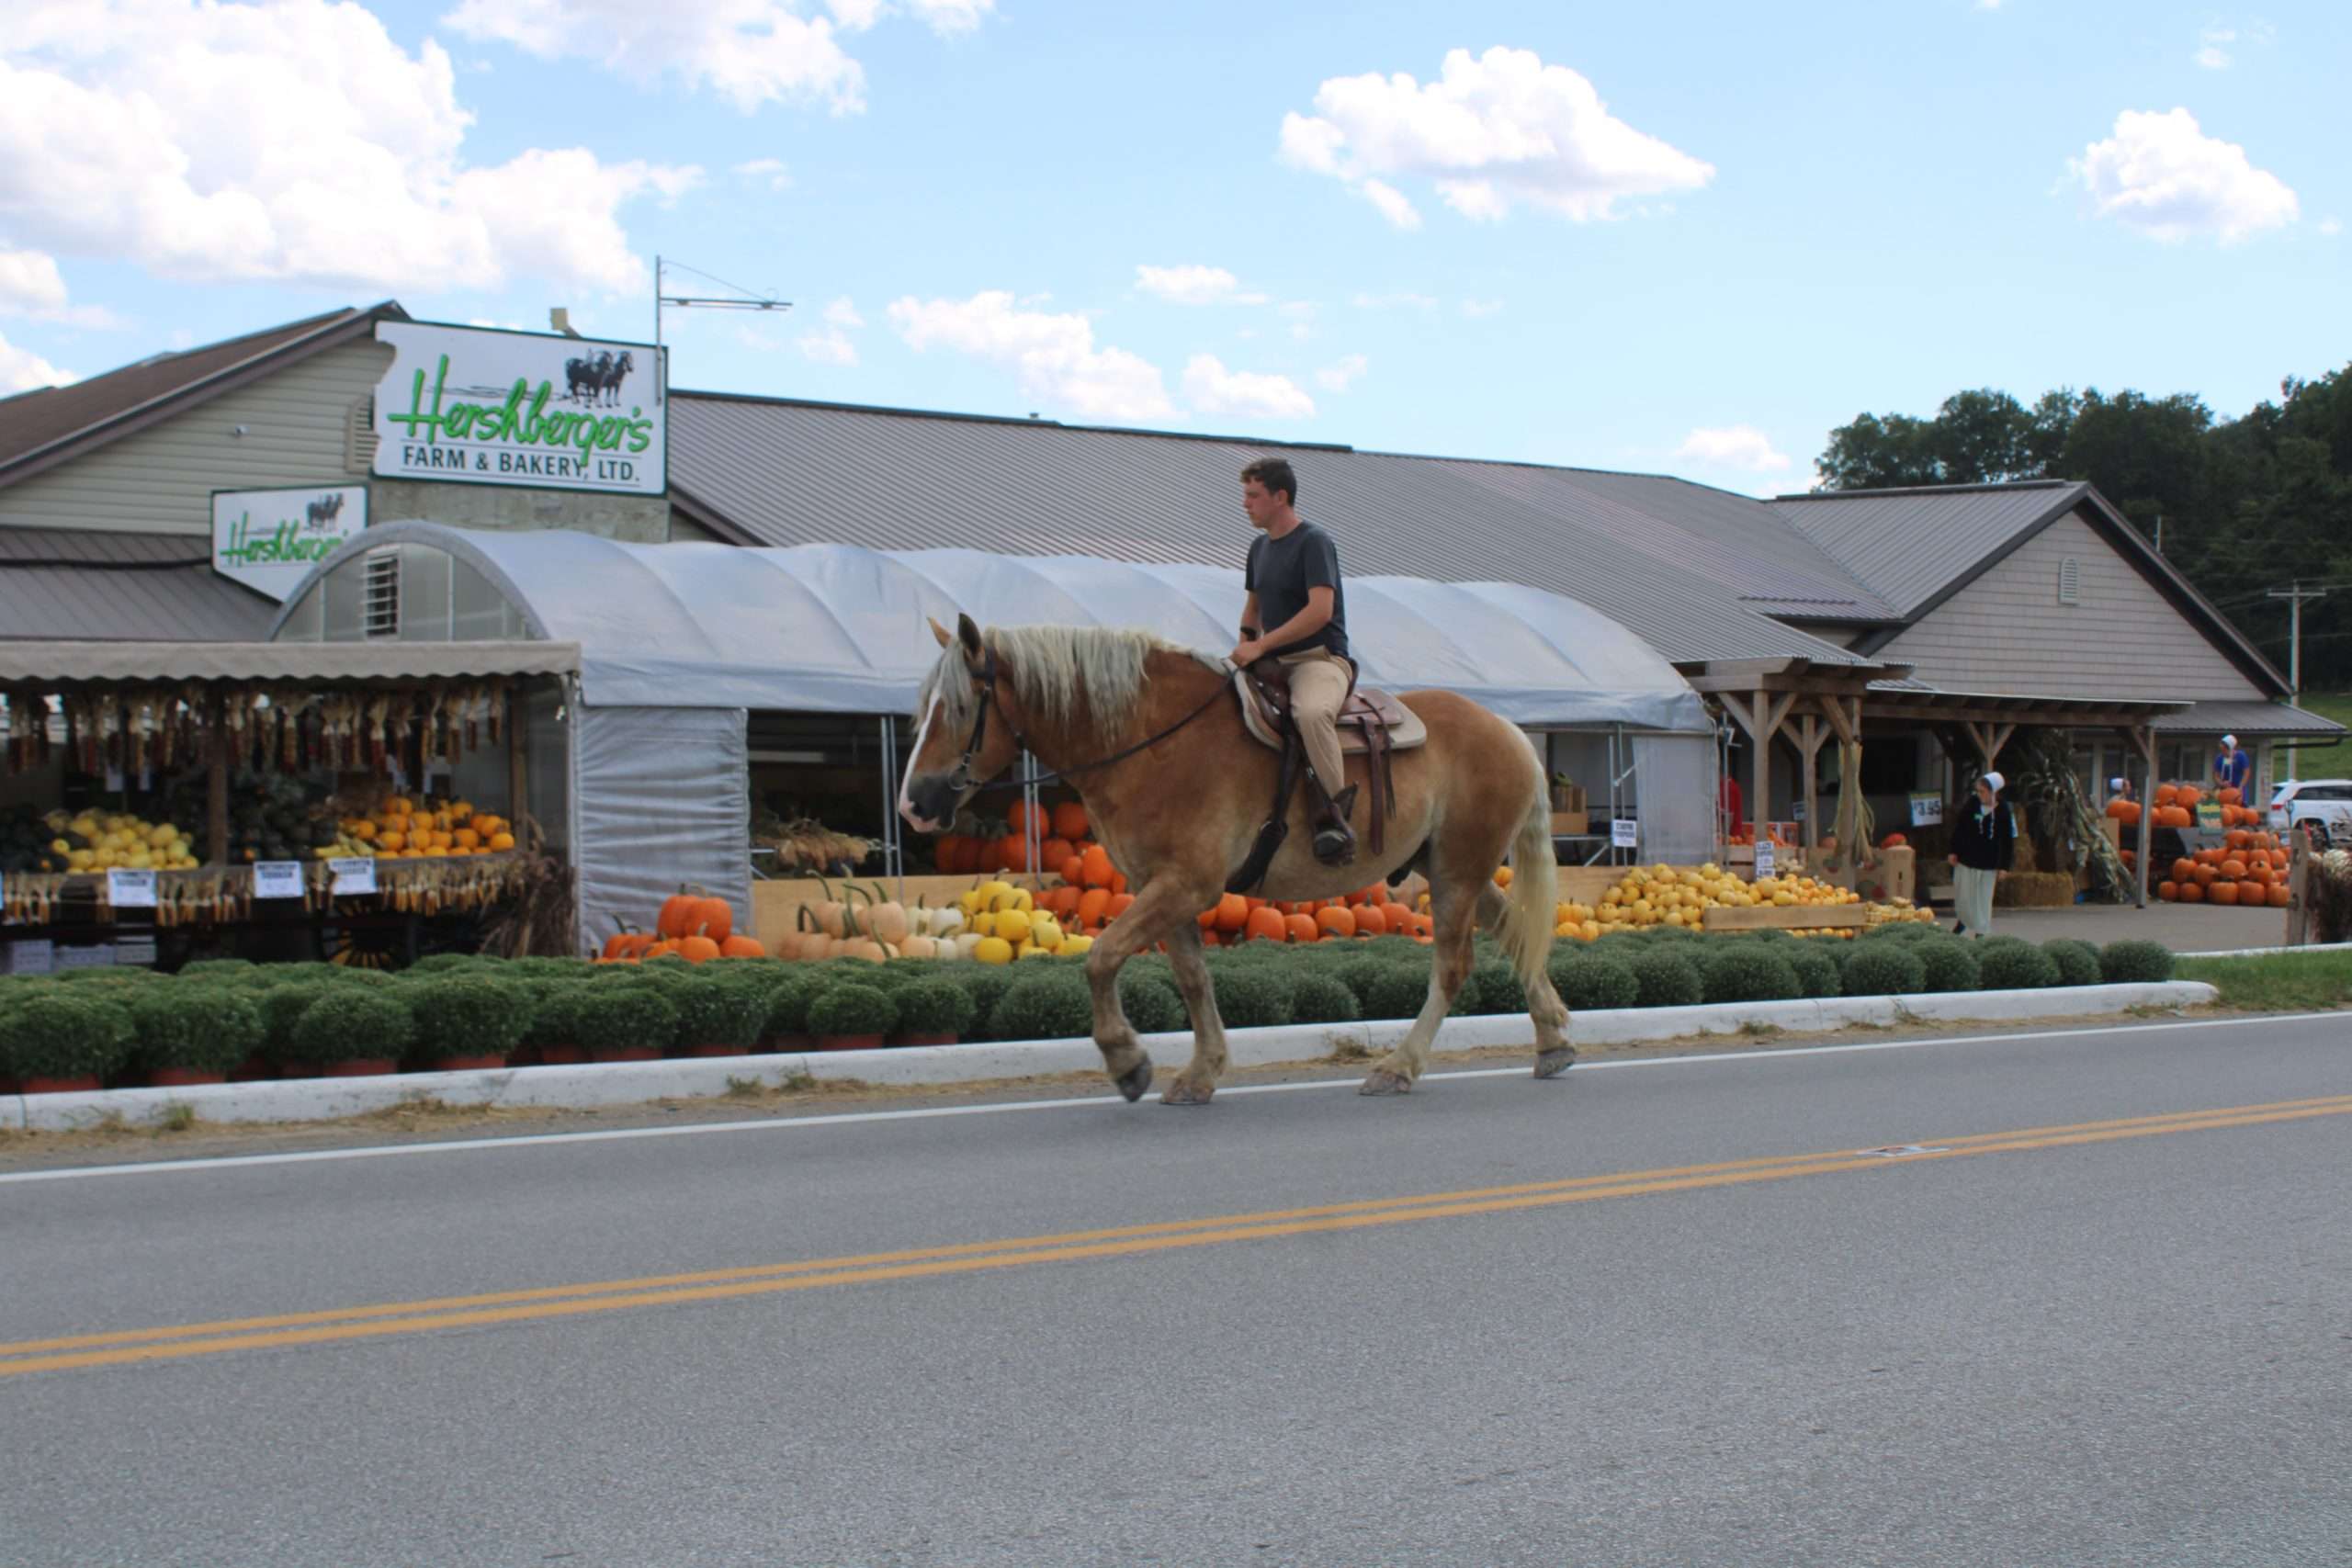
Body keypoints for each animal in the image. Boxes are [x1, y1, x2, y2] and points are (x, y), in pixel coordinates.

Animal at [897, 615, 1570, 1106]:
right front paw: (1202, 1071)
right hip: (1452, 867)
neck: (1154, 740)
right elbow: (1193, 977)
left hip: (1457, 870)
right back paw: (1552, 1038)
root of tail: (1509, 730)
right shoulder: (1162, 886)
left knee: (1452, 966)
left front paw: (1127, 1061)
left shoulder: (1185, 885)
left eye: (960, 707)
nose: (913, 805)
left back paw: (1400, 1065)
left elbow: (1101, 956)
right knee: (1514, 931)